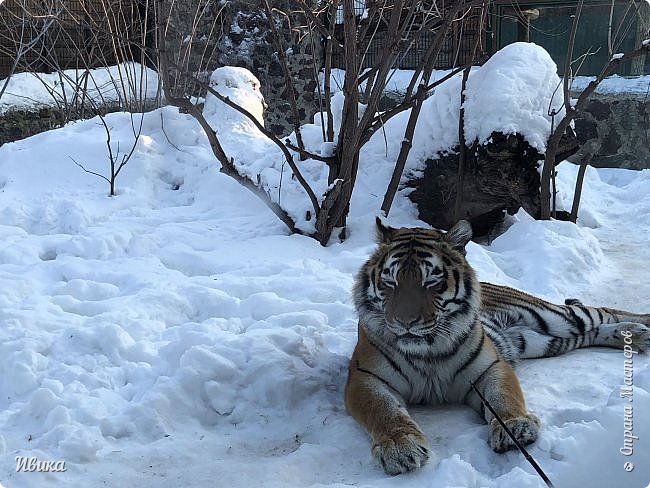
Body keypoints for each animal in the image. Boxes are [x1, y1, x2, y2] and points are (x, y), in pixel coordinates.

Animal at [344, 218, 648, 476]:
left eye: (431, 281)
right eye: (389, 282)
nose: (405, 322)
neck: (427, 350)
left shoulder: (490, 367)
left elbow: (504, 397)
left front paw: (515, 426)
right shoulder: (365, 378)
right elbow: (384, 410)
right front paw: (400, 446)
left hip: (555, 318)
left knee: (602, 312)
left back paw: (639, 330)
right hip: (546, 340)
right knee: (590, 331)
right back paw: (634, 336)